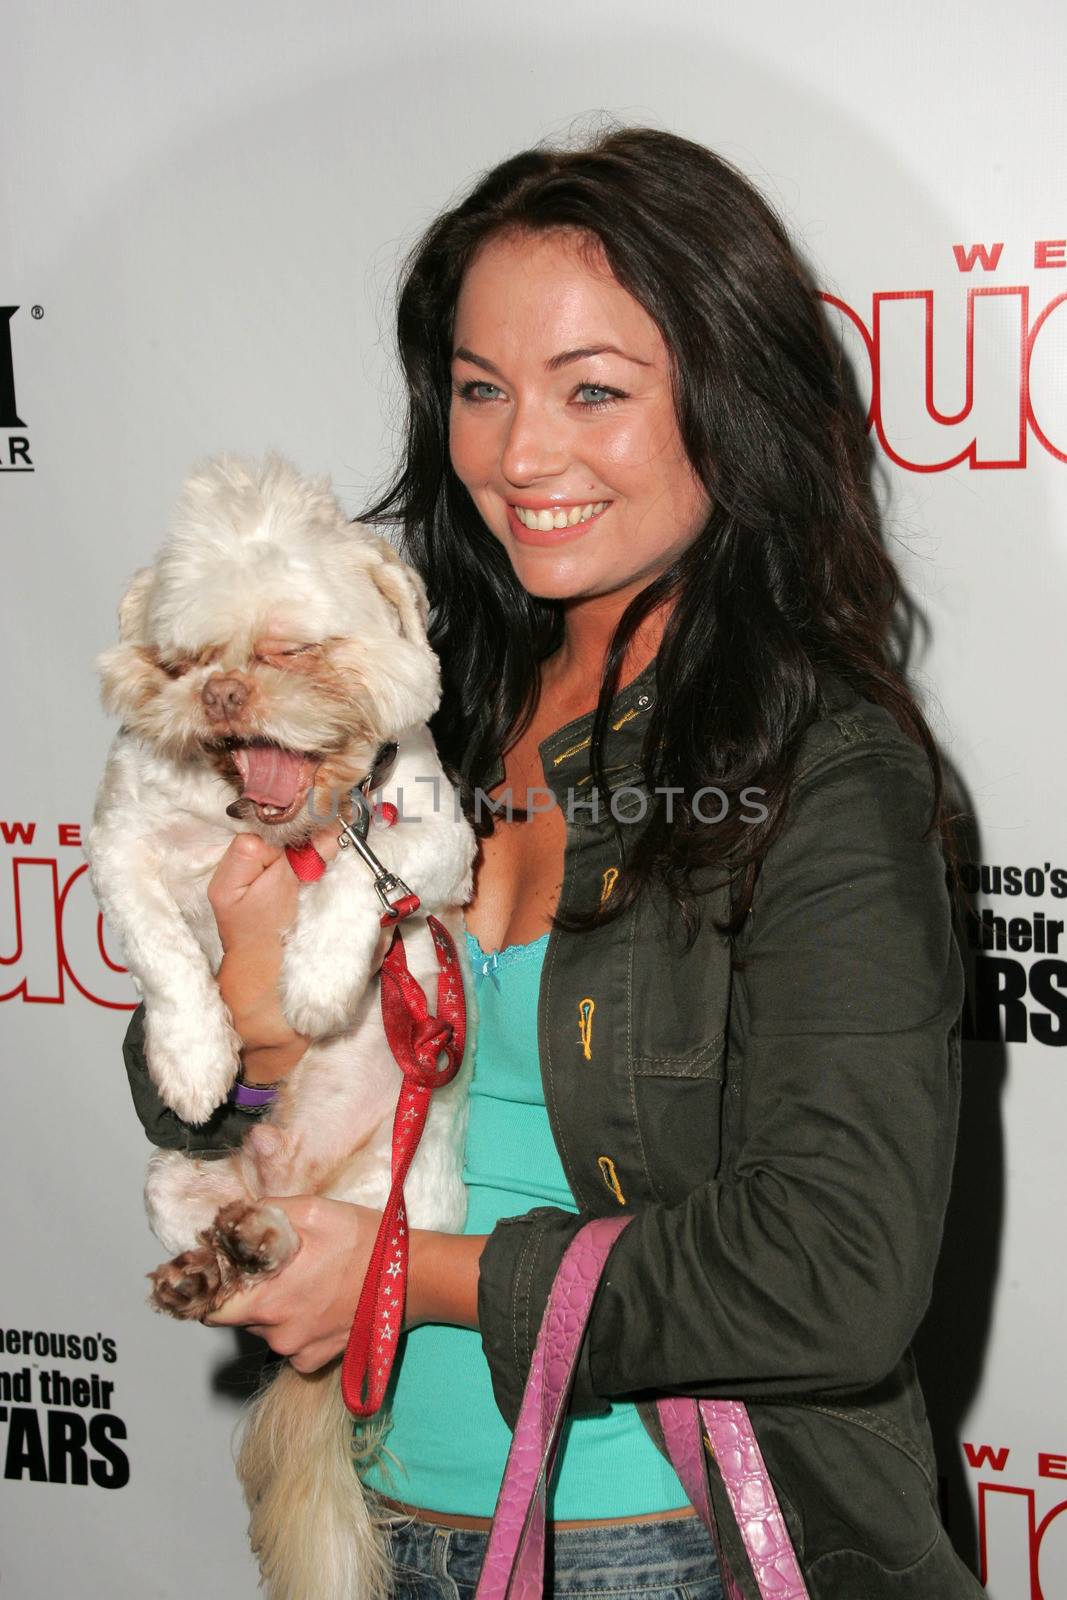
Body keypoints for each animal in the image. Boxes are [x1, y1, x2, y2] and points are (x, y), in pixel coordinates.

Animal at [85, 451, 476, 1600]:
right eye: (181, 660)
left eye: (293, 649)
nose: (222, 693)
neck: (283, 824)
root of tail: (294, 1184)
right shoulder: (121, 842)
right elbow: (166, 955)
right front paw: (193, 1057)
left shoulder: (434, 838)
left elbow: (360, 879)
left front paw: (313, 978)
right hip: (174, 1185)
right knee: (226, 1240)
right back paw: (220, 1259)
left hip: (393, 1225)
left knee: (324, 1247)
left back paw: (269, 1237)